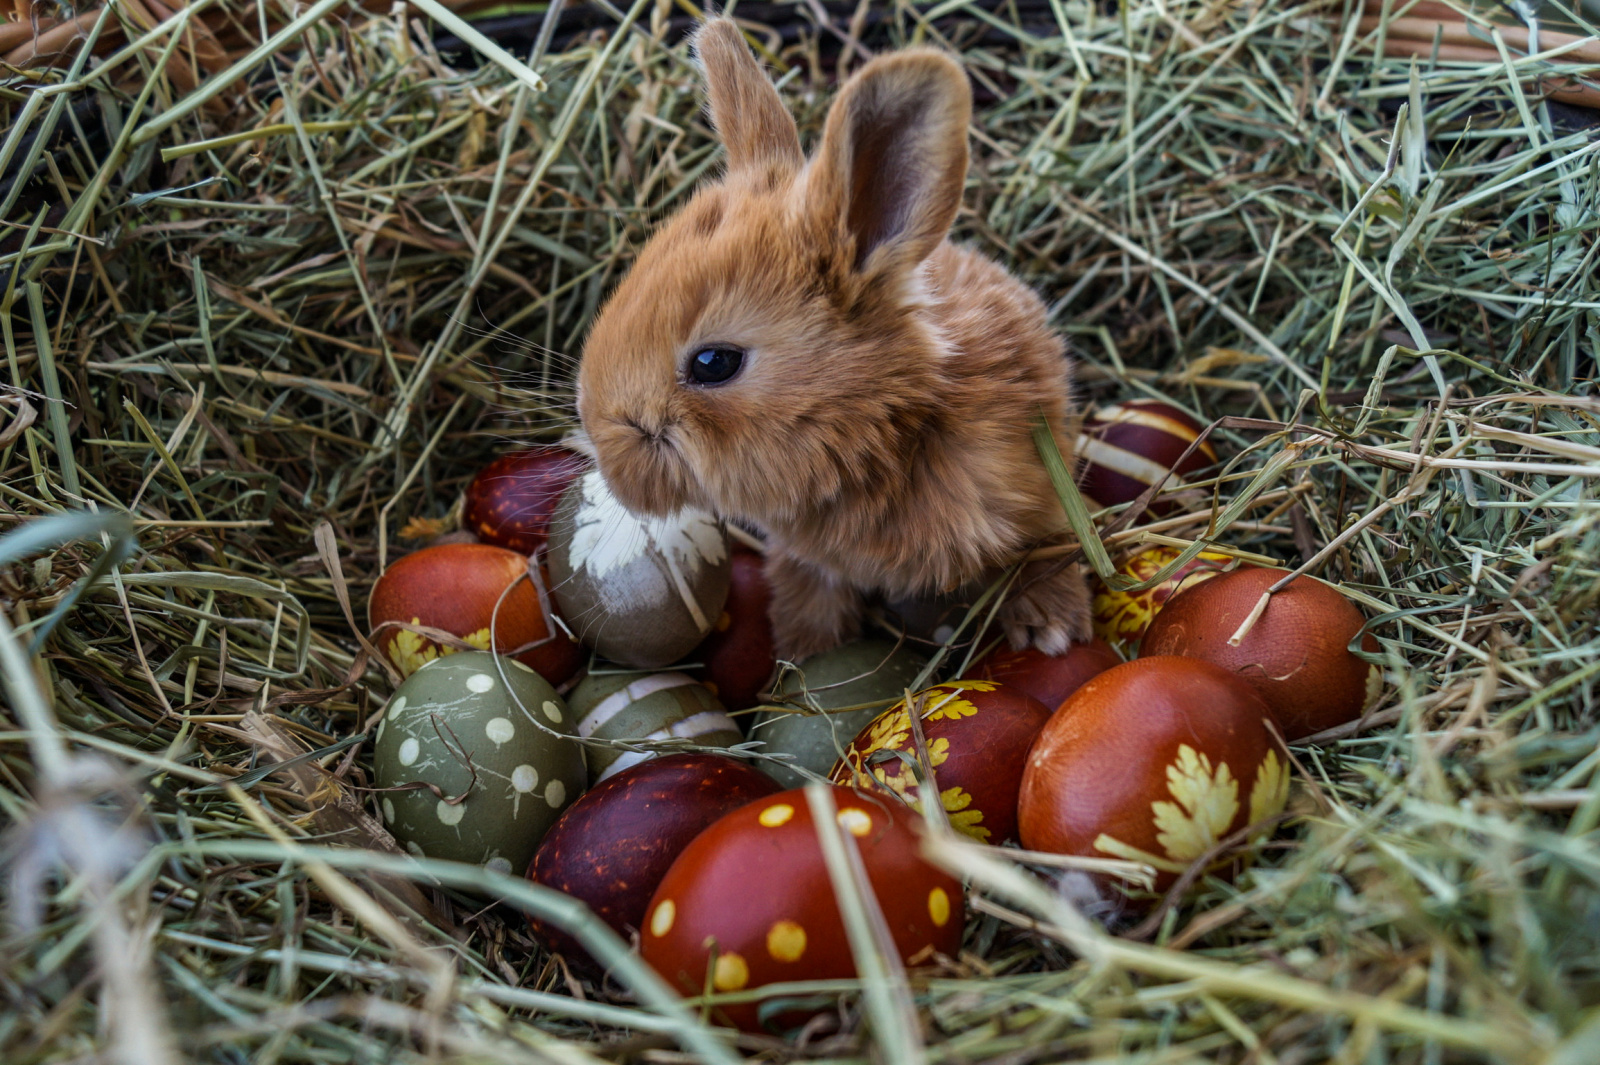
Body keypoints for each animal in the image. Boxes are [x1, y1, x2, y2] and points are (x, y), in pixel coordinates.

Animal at [582, 18, 1094, 655]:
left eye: (714, 362)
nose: (606, 457)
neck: (890, 432)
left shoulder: (1039, 495)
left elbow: (1047, 550)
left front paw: (1054, 628)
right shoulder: (808, 560)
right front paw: (804, 652)